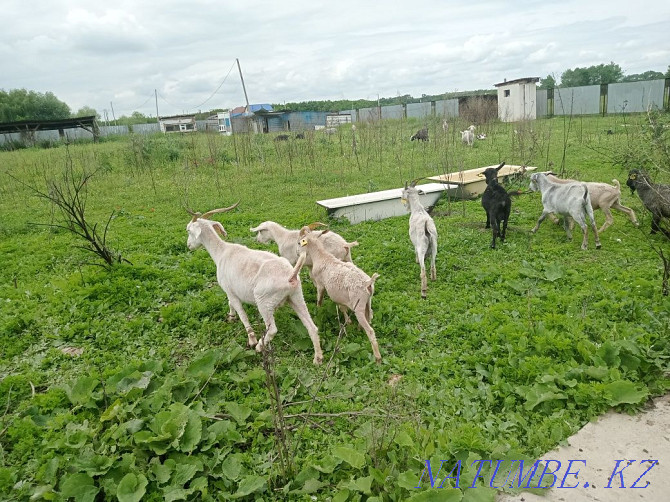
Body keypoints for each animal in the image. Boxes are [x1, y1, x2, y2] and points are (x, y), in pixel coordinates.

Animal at [300, 226, 384, 362]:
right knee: (370, 315)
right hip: (368, 301)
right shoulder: (339, 297)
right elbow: (342, 308)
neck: (321, 256)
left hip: (358, 305)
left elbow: (319, 300)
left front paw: (318, 311)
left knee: (370, 330)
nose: (298, 253)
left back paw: (377, 358)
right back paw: (359, 328)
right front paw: (348, 322)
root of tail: (368, 283)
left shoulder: (320, 285)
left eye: (300, 242)